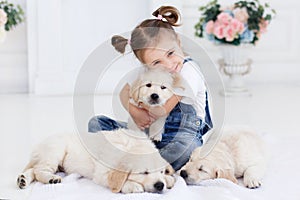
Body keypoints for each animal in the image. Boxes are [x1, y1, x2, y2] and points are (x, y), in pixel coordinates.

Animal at [17, 129, 176, 193]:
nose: (159, 185)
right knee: (39, 170)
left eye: (161, 172)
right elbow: (116, 181)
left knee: (33, 170)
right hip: (54, 151)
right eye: (144, 173)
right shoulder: (101, 173)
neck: (129, 147)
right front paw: (131, 186)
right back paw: (51, 178)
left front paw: (169, 179)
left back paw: (23, 180)